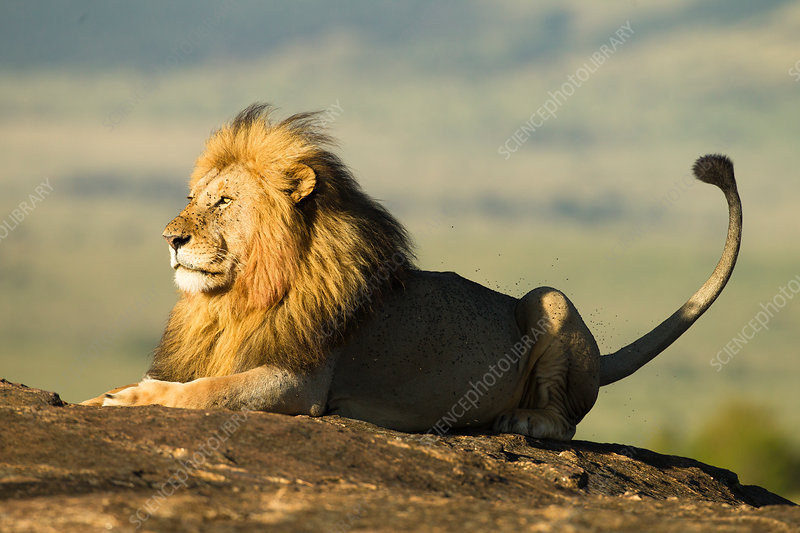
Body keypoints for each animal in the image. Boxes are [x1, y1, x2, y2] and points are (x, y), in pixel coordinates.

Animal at [82, 103, 742, 441]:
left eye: (222, 202)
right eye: (193, 198)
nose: (170, 239)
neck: (234, 298)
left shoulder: (301, 382)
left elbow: (205, 393)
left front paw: (129, 397)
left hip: (548, 298)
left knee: (565, 423)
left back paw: (522, 418)